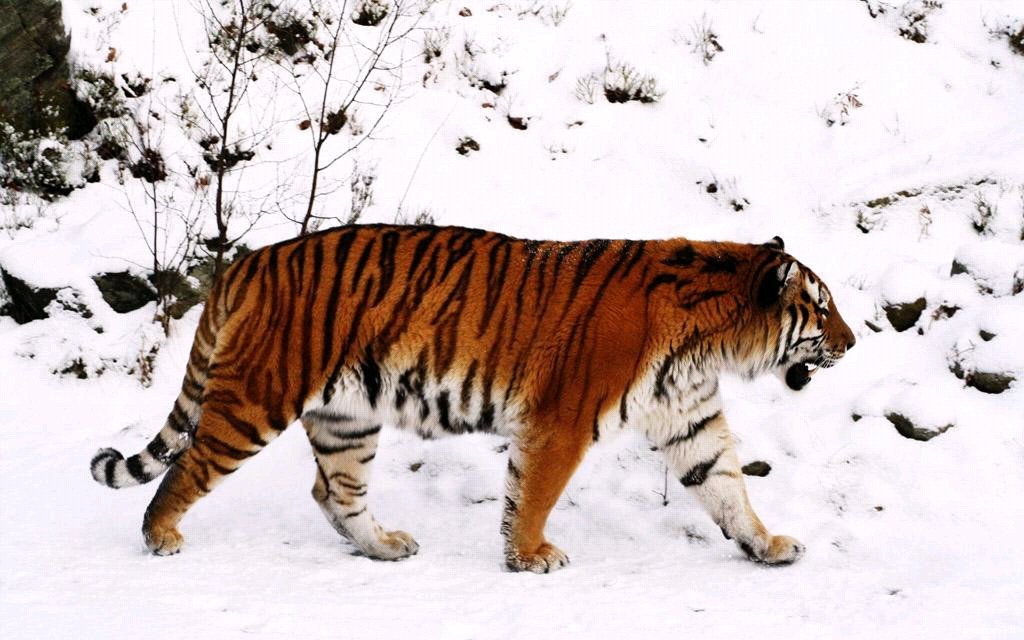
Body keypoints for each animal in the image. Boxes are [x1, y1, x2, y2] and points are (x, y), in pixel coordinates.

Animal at [90, 225, 855, 573]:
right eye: (821, 308)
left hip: (348, 418)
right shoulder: (561, 419)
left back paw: (384, 547)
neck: (710, 341)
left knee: (333, 491)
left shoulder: (689, 420)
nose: (852, 342)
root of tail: (245, 262)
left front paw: (767, 545)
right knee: (190, 467)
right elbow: (536, 492)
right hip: (257, 397)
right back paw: (161, 537)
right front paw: (530, 555)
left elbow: (727, 488)